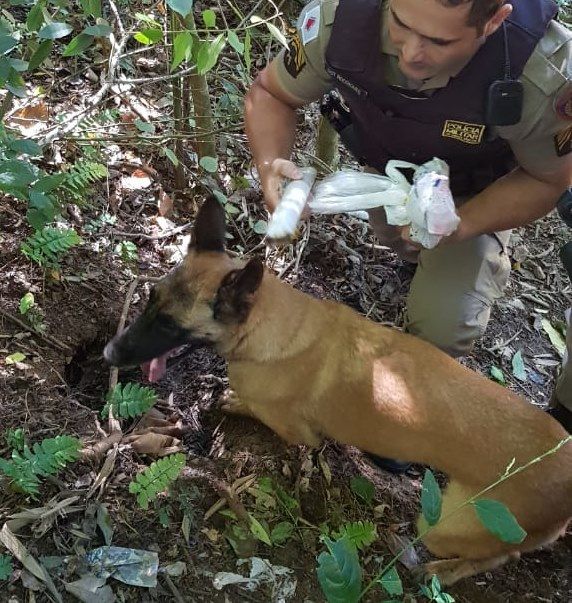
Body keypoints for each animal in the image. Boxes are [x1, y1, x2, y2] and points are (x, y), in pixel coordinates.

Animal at [105, 198, 568, 584]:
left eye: (170, 326)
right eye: (150, 298)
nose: (108, 353)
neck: (271, 322)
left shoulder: (297, 431)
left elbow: (263, 410)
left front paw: (237, 402)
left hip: (447, 524)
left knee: (499, 556)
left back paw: (446, 571)